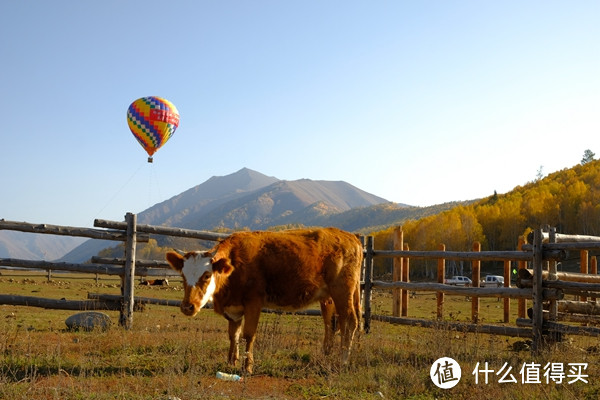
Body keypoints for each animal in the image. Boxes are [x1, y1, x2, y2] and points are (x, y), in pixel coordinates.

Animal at [166, 227, 364, 374]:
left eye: (206, 275)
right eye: (182, 275)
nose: (188, 307)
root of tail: (350, 236)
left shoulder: (254, 302)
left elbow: (248, 334)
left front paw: (247, 366)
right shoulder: (234, 307)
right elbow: (233, 334)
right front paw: (231, 362)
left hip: (342, 290)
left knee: (349, 321)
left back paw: (342, 361)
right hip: (328, 297)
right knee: (331, 323)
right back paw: (325, 356)